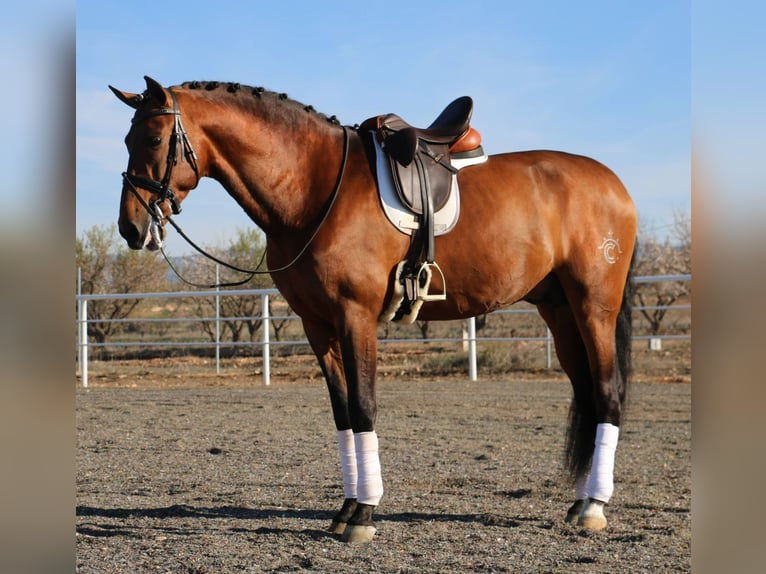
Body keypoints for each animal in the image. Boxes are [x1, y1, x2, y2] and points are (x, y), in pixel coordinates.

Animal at [110, 76, 637, 543]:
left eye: (153, 138)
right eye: (127, 139)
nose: (131, 229)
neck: (313, 187)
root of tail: (614, 184)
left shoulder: (355, 316)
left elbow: (364, 407)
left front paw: (364, 514)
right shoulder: (317, 324)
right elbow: (343, 412)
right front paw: (346, 509)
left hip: (594, 307)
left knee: (607, 393)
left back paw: (594, 506)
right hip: (559, 311)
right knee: (588, 393)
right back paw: (579, 501)